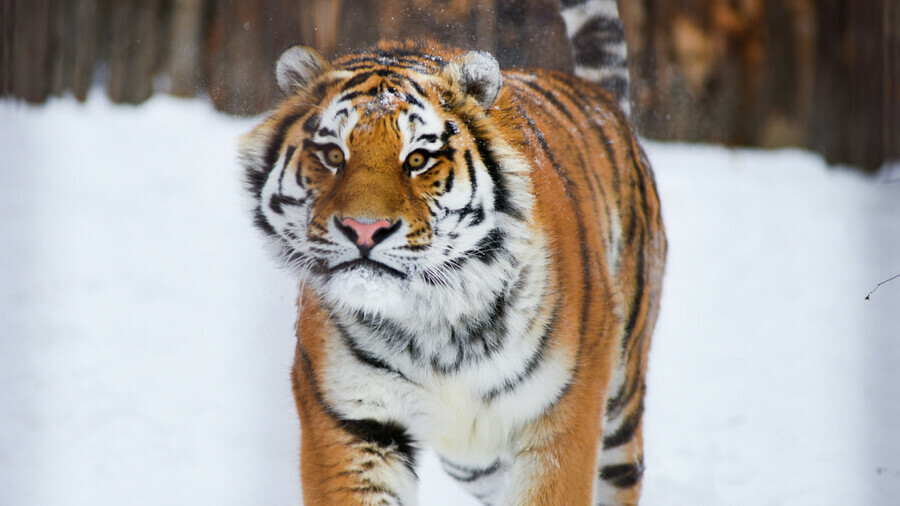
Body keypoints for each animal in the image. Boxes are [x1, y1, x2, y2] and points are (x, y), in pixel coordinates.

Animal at [243, 6, 664, 506]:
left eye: (418, 159)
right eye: (332, 154)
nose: (364, 229)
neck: (437, 318)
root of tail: (600, 97)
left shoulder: (563, 410)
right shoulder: (352, 417)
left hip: (620, 405)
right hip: (475, 461)